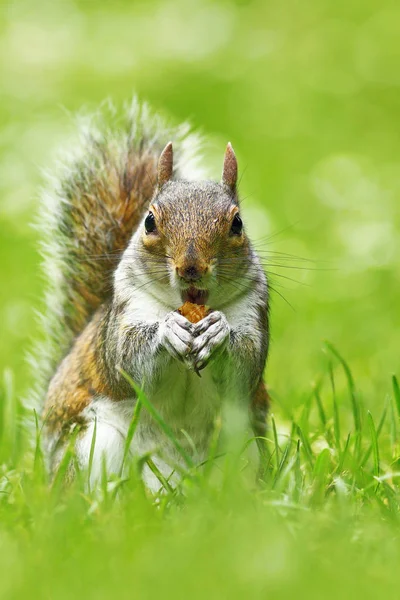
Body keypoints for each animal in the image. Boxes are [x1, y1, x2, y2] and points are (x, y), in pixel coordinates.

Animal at [37, 99, 270, 492]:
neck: (187, 306)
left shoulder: (255, 312)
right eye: (149, 222)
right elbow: (125, 361)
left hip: (244, 447)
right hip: (92, 444)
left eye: (237, 224)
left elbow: (247, 364)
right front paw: (167, 332)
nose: (191, 268)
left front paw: (219, 332)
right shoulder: (124, 314)